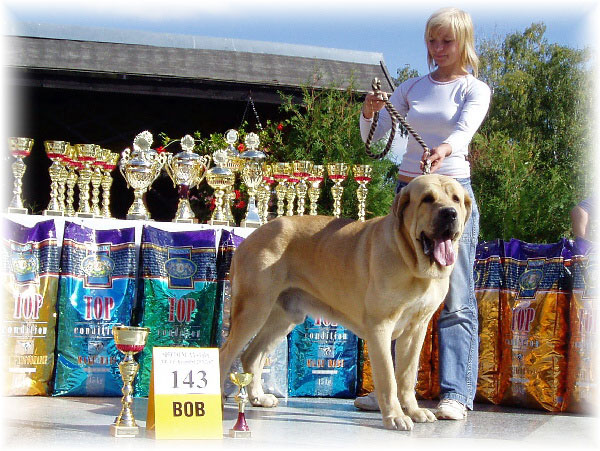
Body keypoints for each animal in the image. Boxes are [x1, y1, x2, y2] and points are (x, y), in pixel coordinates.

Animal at [218, 174, 472, 430]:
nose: (450, 213)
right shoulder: (380, 326)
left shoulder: (416, 329)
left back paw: (258, 398)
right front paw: (396, 416)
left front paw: (414, 411)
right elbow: (388, 378)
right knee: (225, 353)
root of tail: (250, 237)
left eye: (456, 199)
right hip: (253, 309)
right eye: (427, 199)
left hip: (283, 318)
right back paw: (218, 400)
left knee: (251, 356)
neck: (412, 262)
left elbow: (407, 376)